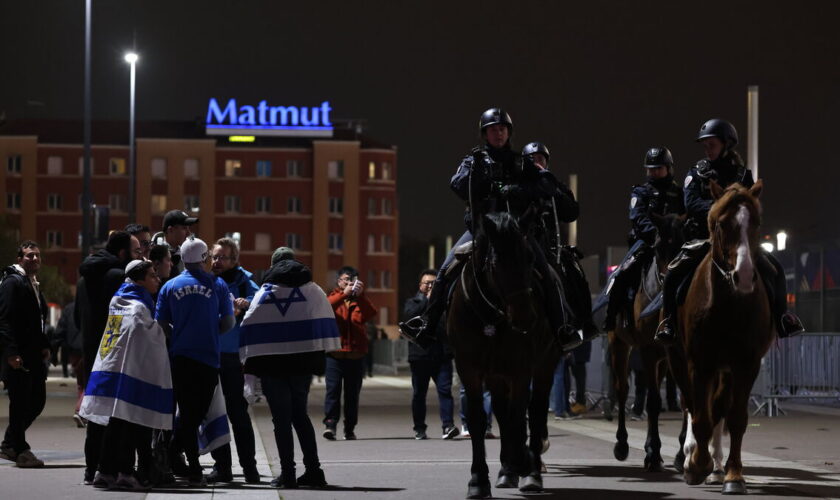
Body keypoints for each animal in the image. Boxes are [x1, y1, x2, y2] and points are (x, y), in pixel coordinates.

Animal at [446, 210, 556, 496]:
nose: (525, 317)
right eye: (495, 262)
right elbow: (479, 418)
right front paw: (478, 480)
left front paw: (525, 462)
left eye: (530, 258)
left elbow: (519, 417)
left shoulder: (521, 369)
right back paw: (508, 469)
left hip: (545, 363)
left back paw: (530, 471)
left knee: (535, 411)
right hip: (496, 374)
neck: (490, 315)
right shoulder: (468, 368)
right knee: (501, 410)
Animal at [608, 213, 684, 470]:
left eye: (684, 244)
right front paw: (652, 453)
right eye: (658, 247)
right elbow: (651, 401)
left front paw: (681, 455)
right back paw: (622, 445)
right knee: (622, 390)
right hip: (619, 345)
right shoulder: (649, 350)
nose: (670, 279)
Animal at [668, 179, 772, 492]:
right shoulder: (698, 363)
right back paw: (693, 457)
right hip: (679, 360)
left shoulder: (746, 364)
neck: (729, 304)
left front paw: (733, 475)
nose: (745, 276)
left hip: (723, 370)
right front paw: (695, 465)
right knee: (691, 405)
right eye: (721, 224)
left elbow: (735, 418)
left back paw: (715, 465)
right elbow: (700, 415)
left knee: (717, 408)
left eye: (756, 222)